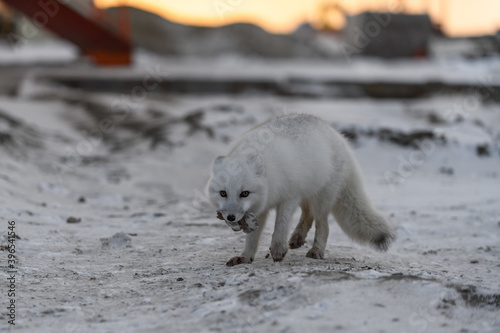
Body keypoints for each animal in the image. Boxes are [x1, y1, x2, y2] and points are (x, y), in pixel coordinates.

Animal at [206, 114, 394, 264]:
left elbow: (280, 225)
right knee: (308, 215)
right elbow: (252, 237)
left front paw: (277, 248)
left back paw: (316, 250)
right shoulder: (260, 208)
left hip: (320, 199)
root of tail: (340, 137)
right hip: (307, 194)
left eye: (244, 193)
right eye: (223, 193)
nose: (230, 217)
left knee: (323, 224)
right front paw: (245, 257)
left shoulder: (289, 197)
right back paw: (297, 238)